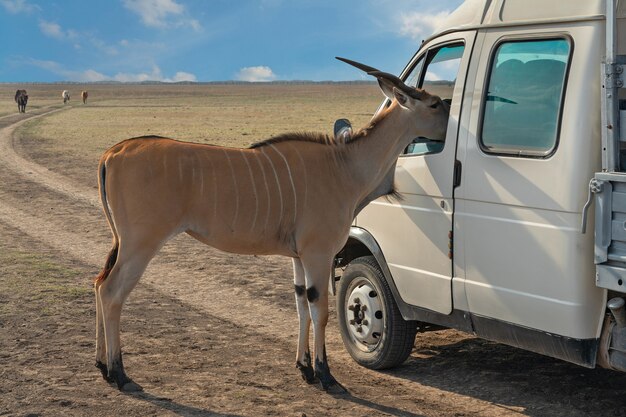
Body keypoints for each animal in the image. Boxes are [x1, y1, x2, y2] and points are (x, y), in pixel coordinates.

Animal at [92, 57, 448, 392]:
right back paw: (120, 374)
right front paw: (325, 375)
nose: (451, 122)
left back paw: (102, 367)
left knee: (98, 283)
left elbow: (301, 305)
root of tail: (113, 152)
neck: (344, 166)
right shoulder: (318, 253)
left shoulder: (298, 257)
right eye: (434, 104)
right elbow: (320, 312)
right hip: (141, 243)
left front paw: (304, 368)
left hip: (122, 243)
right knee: (111, 291)